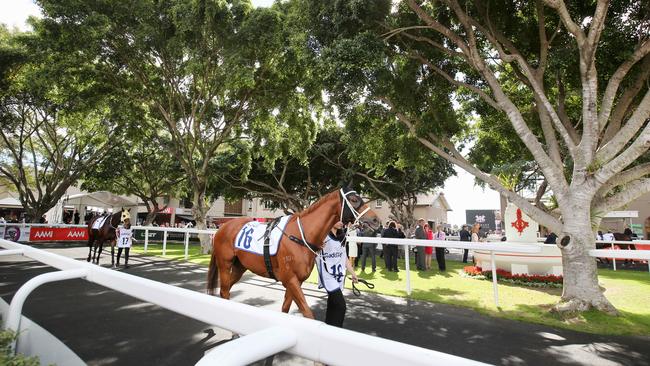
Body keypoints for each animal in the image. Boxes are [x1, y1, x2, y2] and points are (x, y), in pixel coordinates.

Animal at [206, 189, 380, 318]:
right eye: (354, 199)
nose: (376, 220)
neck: (300, 236)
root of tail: (223, 227)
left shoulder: (296, 281)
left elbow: (285, 308)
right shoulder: (290, 280)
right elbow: (307, 313)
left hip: (239, 267)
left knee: (226, 291)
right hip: (225, 264)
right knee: (224, 291)